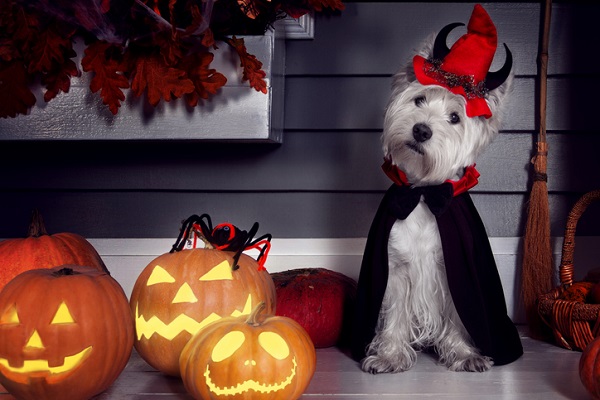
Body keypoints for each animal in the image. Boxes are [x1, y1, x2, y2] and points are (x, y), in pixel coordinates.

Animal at [350, 3, 524, 372]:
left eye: (455, 118)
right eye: (418, 100)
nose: (421, 130)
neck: (423, 194)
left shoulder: (452, 270)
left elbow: (458, 315)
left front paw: (464, 354)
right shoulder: (396, 268)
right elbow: (394, 316)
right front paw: (388, 355)